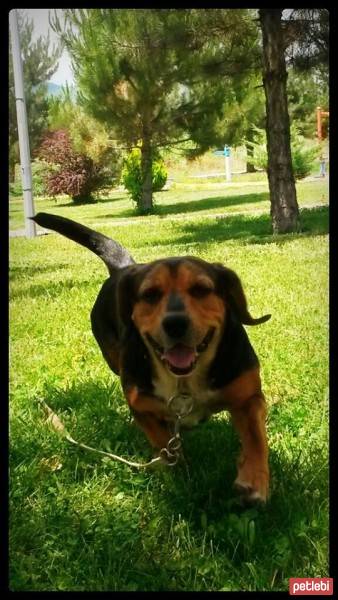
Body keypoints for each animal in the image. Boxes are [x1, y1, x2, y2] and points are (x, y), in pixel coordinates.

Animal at [32, 213, 272, 504]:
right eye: (149, 295)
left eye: (202, 289)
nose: (175, 323)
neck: (184, 382)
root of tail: (124, 268)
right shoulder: (140, 405)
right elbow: (161, 441)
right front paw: (178, 470)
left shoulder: (248, 397)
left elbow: (256, 437)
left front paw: (254, 479)